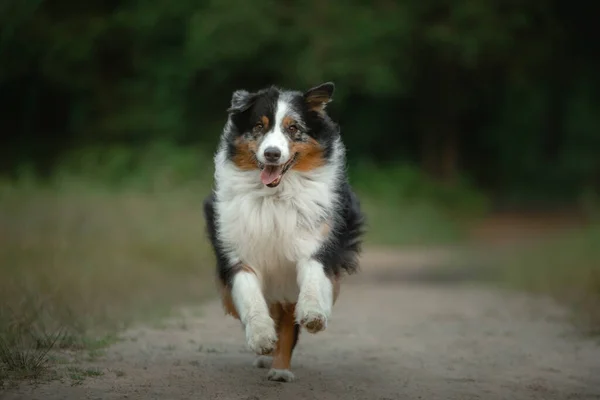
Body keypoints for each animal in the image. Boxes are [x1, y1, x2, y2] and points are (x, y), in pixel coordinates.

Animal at [203, 80, 366, 382]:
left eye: (293, 128)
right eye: (259, 126)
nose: (272, 154)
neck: (275, 197)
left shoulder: (318, 243)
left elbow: (313, 280)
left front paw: (314, 313)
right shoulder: (237, 252)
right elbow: (250, 296)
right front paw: (260, 336)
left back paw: (280, 369)